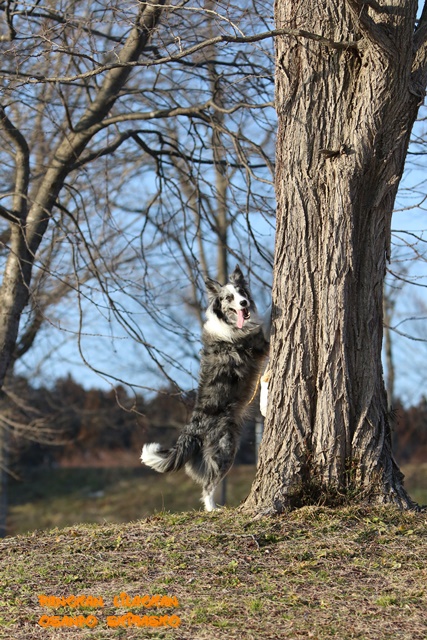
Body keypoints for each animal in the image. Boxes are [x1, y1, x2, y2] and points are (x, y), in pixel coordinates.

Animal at [142, 264, 270, 510]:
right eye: (229, 298)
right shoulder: (259, 343)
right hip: (225, 448)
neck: (230, 322)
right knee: (208, 485)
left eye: (242, 292)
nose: (244, 303)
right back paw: (213, 509)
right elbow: (268, 324)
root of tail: (193, 427)